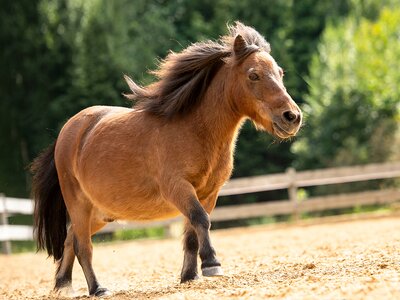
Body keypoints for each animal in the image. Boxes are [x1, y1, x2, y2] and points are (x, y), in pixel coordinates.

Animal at [30, 22, 300, 296]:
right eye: (253, 75)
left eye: (280, 73)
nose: (292, 117)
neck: (194, 130)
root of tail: (67, 132)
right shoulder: (177, 187)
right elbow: (200, 220)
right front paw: (212, 264)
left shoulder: (208, 193)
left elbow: (192, 232)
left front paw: (190, 276)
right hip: (79, 206)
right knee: (83, 246)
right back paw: (97, 288)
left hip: (98, 214)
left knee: (70, 239)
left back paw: (63, 285)